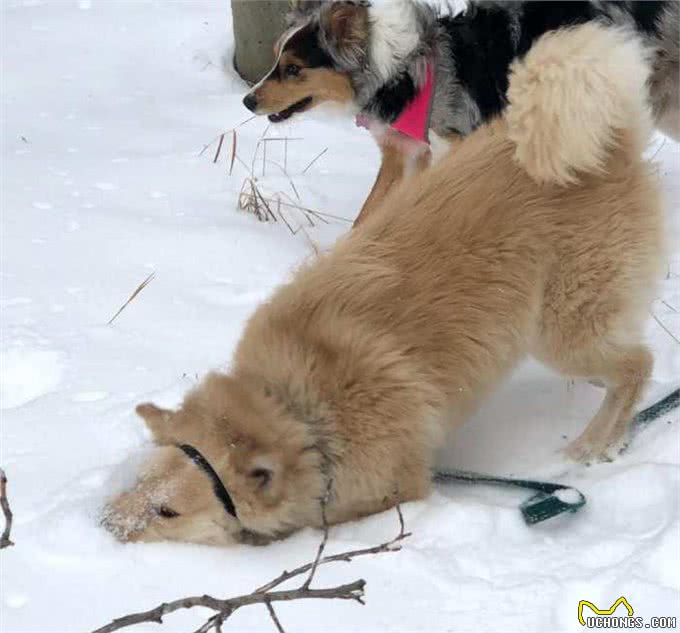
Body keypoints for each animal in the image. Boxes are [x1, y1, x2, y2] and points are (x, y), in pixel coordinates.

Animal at [105, 24, 664, 544]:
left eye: (168, 513)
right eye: (140, 480)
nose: (105, 524)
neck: (296, 407)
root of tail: (610, 141)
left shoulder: (398, 487)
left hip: (563, 334)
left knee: (637, 366)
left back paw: (597, 443)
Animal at [242, 0, 676, 226]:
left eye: (293, 69)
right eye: (275, 59)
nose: (248, 101)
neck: (399, 71)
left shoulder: (456, 145)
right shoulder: (406, 153)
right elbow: (369, 212)